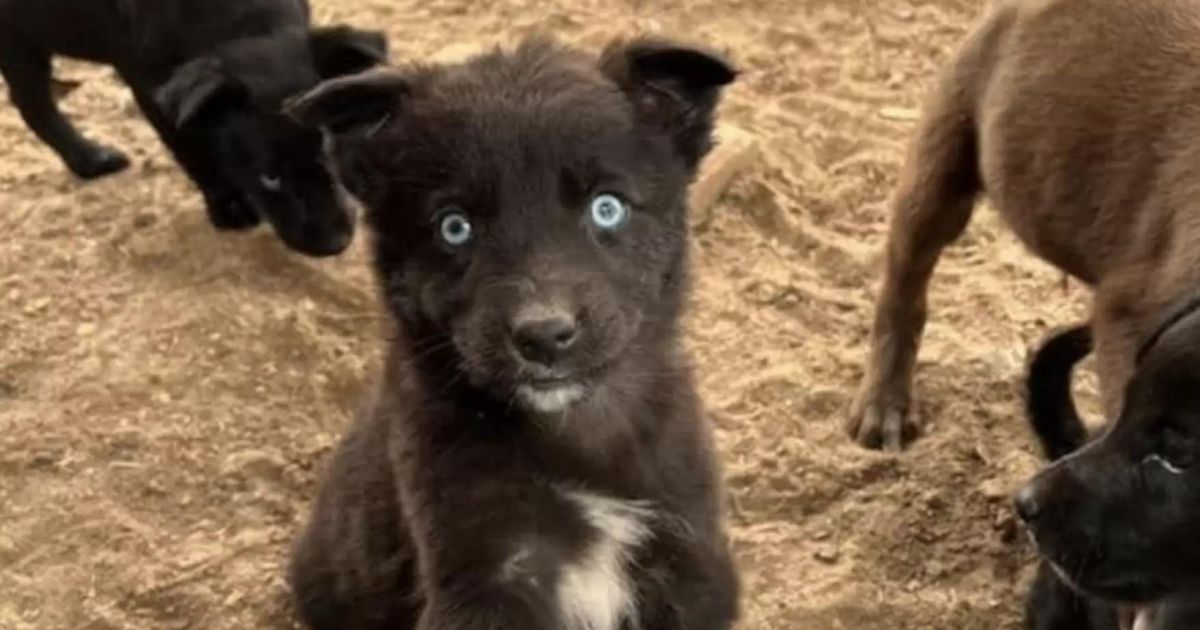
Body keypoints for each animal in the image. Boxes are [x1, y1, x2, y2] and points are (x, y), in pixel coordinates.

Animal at [0, 0, 386, 256]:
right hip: (19, 43)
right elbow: (190, 146)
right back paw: (92, 160)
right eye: (270, 176)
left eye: (329, 154)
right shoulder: (150, 83)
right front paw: (230, 208)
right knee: (36, 108)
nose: (334, 242)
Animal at [286, 38, 744, 628]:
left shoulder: (687, 556)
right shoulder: (484, 572)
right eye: (454, 227)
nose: (544, 335)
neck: (570, 433)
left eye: (607, 208)